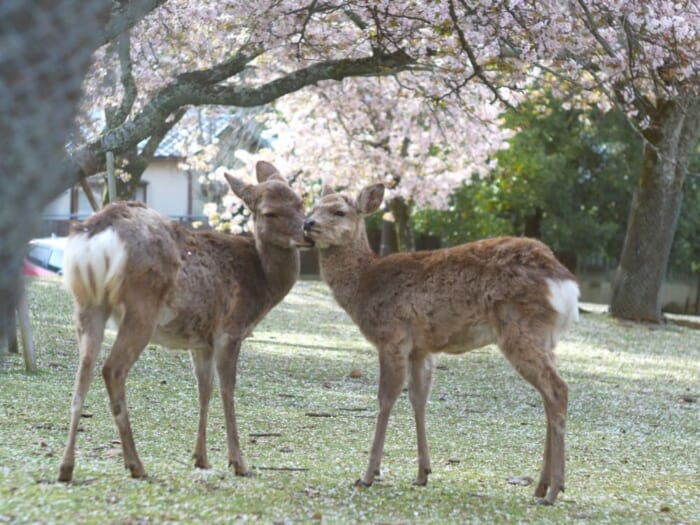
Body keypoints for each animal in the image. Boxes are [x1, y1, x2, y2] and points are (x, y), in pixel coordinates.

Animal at [60, 161, 308, 484]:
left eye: (300, 202)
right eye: (269, 213)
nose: (308, 233)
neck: (262, 284)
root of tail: (96, 235)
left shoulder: (200, 341)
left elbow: (204, 390)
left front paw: (201, 458)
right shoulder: (230, 330)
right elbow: (227, 390)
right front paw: (239, 463)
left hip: (87, 303)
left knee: (82, 373)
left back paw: (66, 467)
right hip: (141, 307)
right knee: (112, 369)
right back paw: (135, 464)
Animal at [302, 183, 580, 504]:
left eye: (339, 211)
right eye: (313, 206)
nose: (307, 223)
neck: (365, 283)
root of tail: (566, 285)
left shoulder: (392, 336)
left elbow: (386, 399)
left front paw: (368, 475)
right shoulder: (420, 349)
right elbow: (418, 399)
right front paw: (423, 473)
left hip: (519, 329)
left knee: (558, 389)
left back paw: (554, 490)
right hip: (545, 338)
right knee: (549, 395)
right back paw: (541, 486)